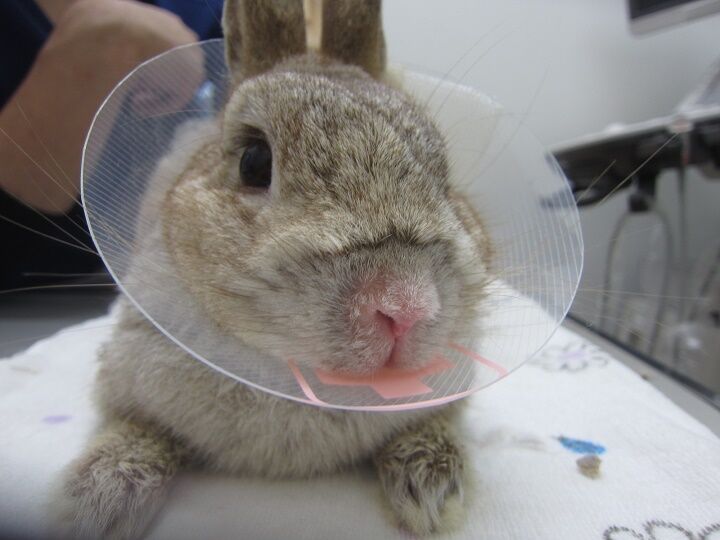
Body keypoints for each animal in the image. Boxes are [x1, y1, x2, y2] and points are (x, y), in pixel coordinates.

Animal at [50, 0, 494, 538]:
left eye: (445, 178)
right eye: (254, 161)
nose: (404, 306)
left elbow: (433, 423)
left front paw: (433, 492)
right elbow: (138, 429)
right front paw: (91, 500)